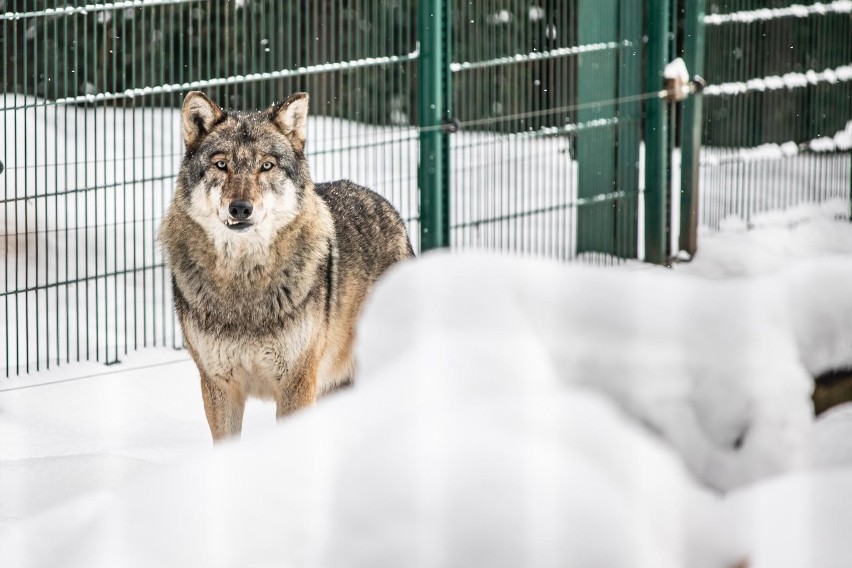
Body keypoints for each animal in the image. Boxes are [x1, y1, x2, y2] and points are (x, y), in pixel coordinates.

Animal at [161, 92, 414, 440]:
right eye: (221, 165)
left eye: (266, 166)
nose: (241, 208)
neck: (245, 285)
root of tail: (393, 212)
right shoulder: (218, 386)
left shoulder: (297, 383)